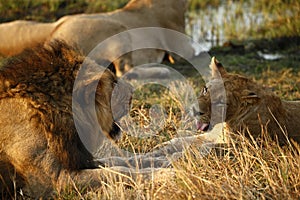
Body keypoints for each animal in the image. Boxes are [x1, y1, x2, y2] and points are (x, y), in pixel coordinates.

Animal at [0, 39, 132, 198]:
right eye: (113, 82)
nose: (132, 91)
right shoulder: (58, 181)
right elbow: (118, 172)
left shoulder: (79, 158)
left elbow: (118, 160)